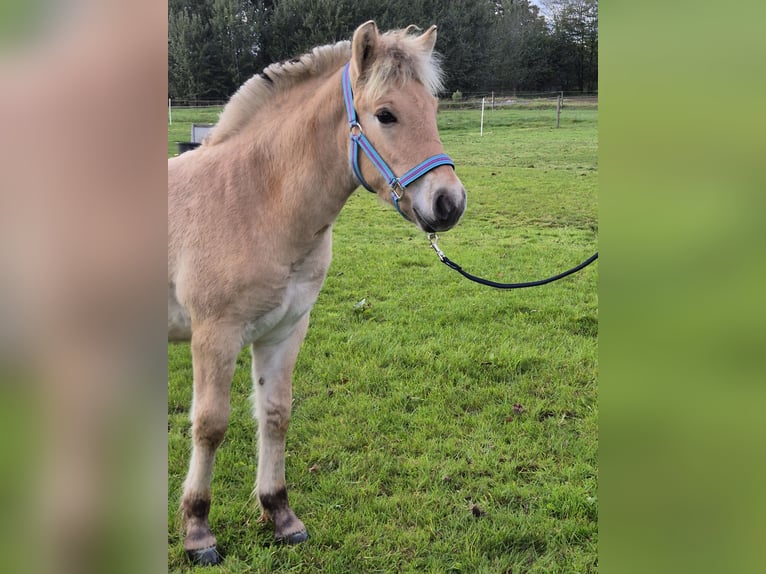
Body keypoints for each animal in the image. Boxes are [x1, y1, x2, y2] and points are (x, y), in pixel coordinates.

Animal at [168, 21, 467, 565]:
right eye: (385, 114)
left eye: (433, 111)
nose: (448, 203)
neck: (253, 200)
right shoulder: (215, 335)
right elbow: (210, 425)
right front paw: (198, 531)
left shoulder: (285, 330)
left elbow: (275, 415)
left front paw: (280, 514)